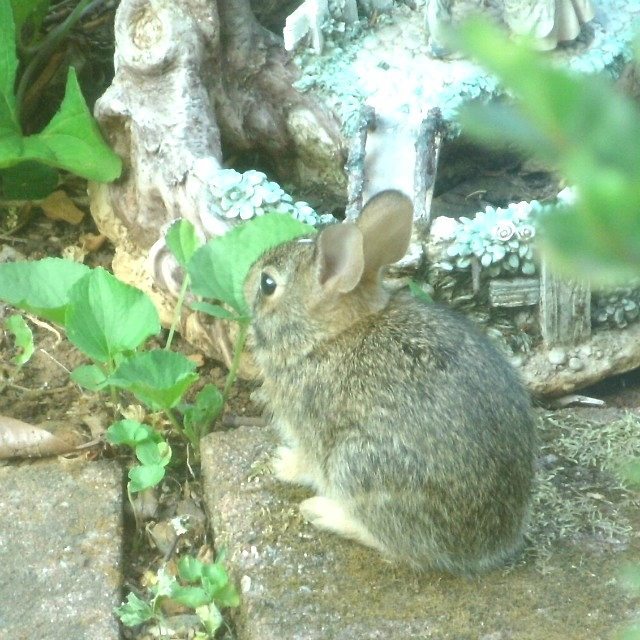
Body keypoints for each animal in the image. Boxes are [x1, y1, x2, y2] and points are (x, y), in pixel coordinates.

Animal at [244, 190, 537, 575]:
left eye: (268, 284)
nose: (247, 281)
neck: (327, 337)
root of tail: (488, 546)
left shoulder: (311, 433)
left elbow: (306, 462)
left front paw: (281, 463)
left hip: (355, 463)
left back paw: (323, 512)